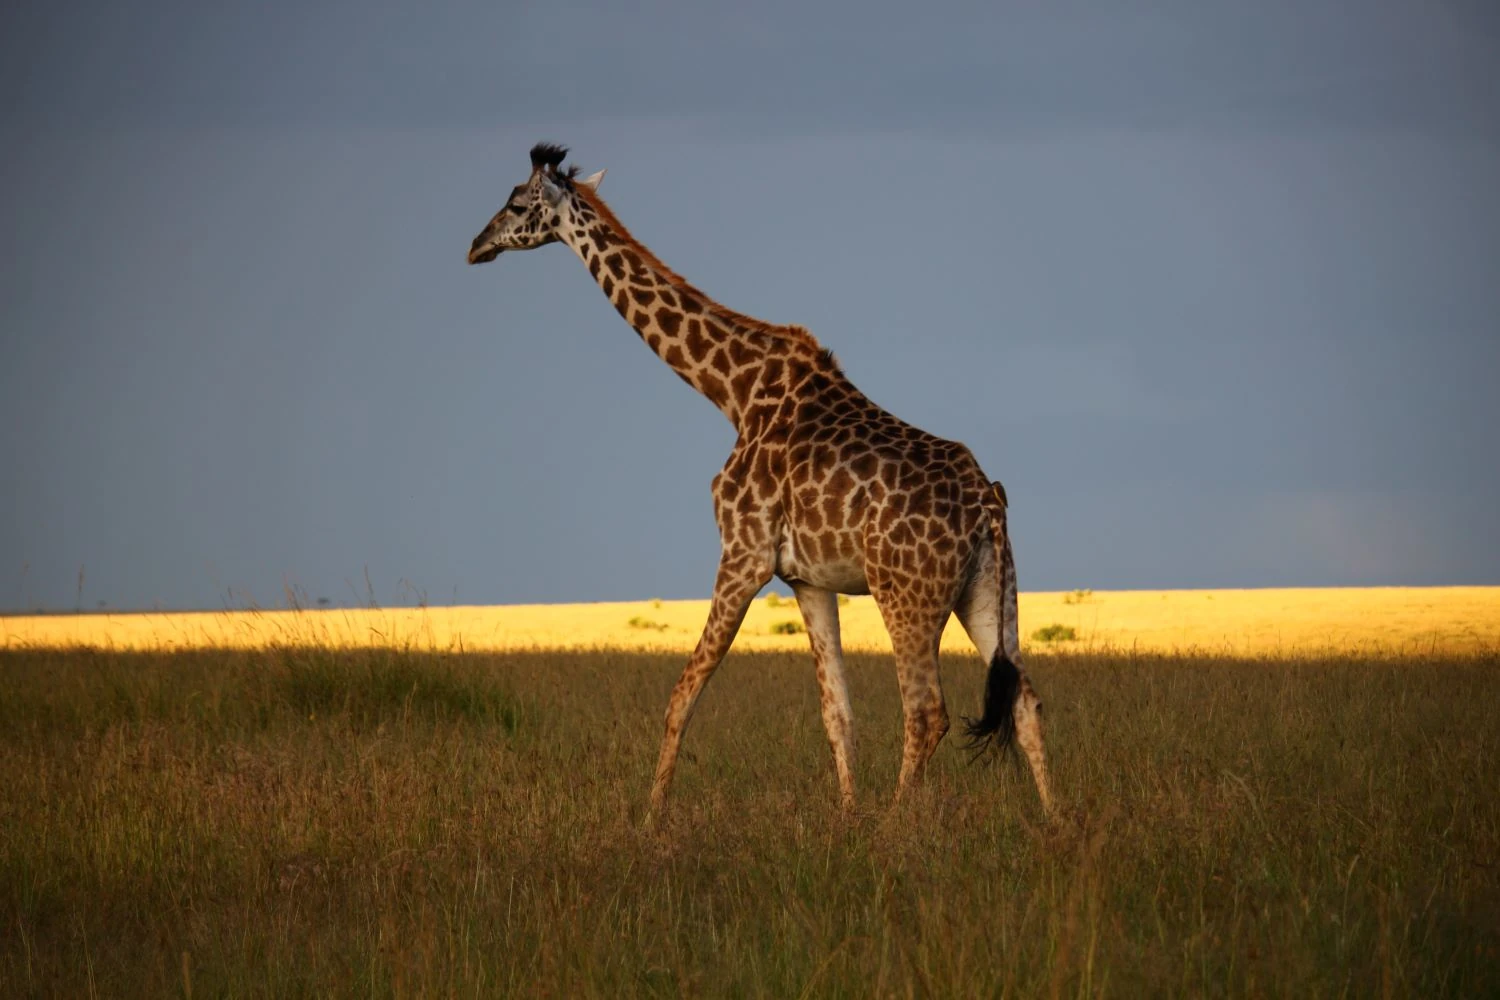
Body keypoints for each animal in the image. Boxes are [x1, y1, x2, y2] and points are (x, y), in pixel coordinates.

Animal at [468, 144, 1056, 827]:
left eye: (515, 203)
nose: (476, 246)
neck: (733, 390)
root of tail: (988, 502)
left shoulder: (742, 552)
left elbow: (682, 693)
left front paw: (650, 818)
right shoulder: (806, 578)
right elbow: (836, 713)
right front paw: (846, 819)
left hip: (906, 592)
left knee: (926, 711)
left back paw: (894, 829)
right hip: (988, 590)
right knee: (1025, 701)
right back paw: (1056, 824)